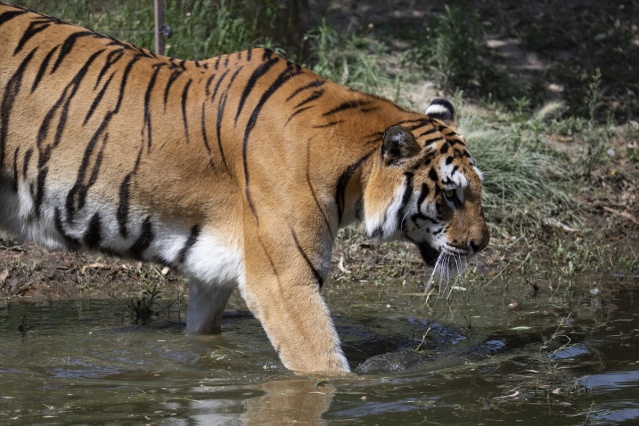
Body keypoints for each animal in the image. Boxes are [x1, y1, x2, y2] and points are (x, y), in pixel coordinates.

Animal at [0, 1, 490, 372]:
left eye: (477, 192)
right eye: (450, 195)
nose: (482, 244)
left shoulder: (212, 269)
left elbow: (203, 335)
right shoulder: (284, 280)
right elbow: (323, 366)